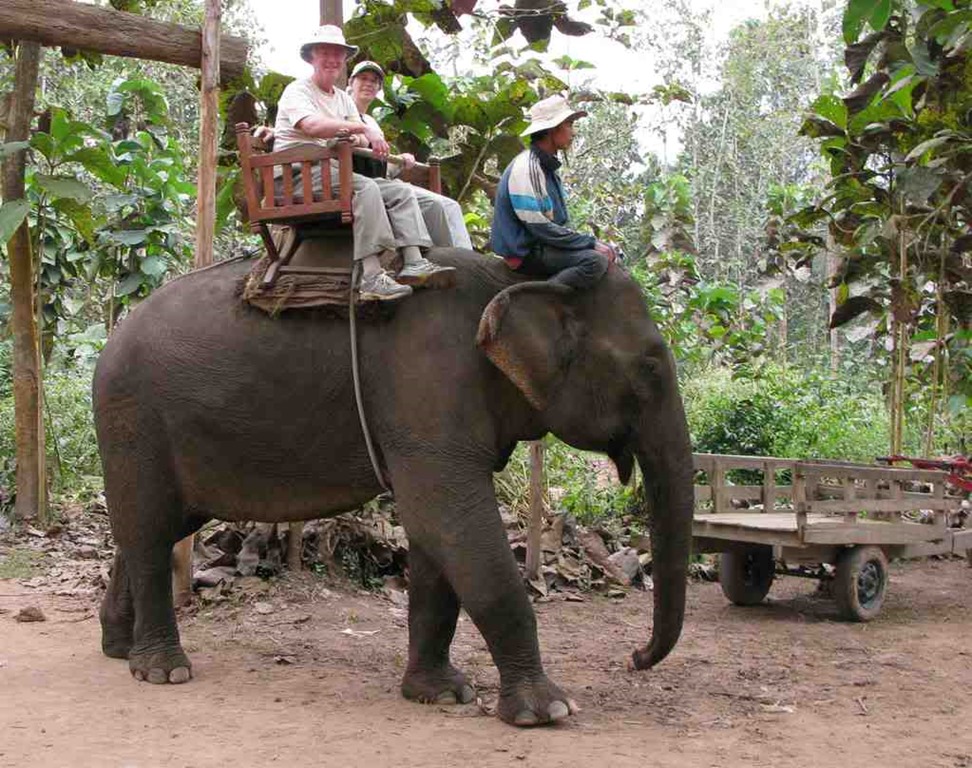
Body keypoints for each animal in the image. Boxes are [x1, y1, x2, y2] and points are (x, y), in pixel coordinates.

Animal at [93, 244, 695, 727]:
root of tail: (111, 337)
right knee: (148, 531)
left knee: (152, 527)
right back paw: (164, 672)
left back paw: (120, 650)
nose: (635, 658)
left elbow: (435, 539)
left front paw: (441, 694)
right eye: (650, 368)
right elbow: (452, 523)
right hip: (133, 419)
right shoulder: (427, 394)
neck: (513, 278)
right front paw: (546, 712)